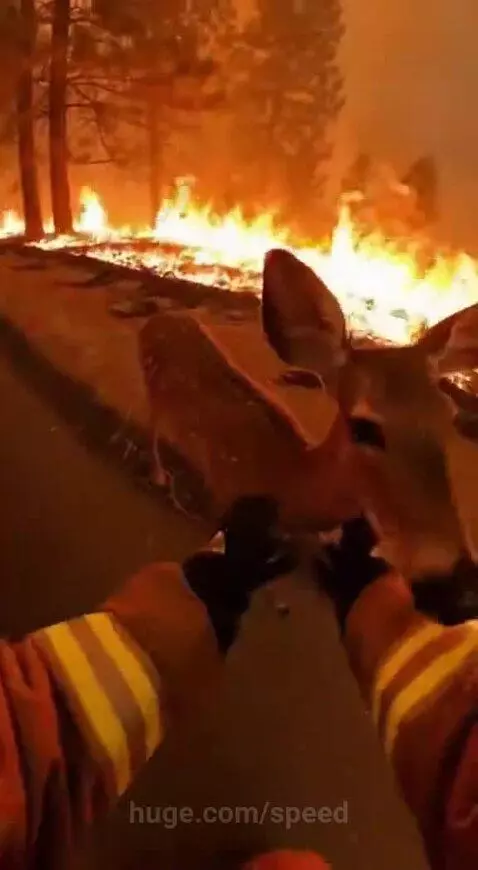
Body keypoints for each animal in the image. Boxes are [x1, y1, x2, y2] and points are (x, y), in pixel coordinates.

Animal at [138, 247, 478, 587]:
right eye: (362, 427)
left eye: (449, 417)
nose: (454, 573)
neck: (287, 484)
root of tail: (158, 319)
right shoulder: (222, 500)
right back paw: (161, 478)